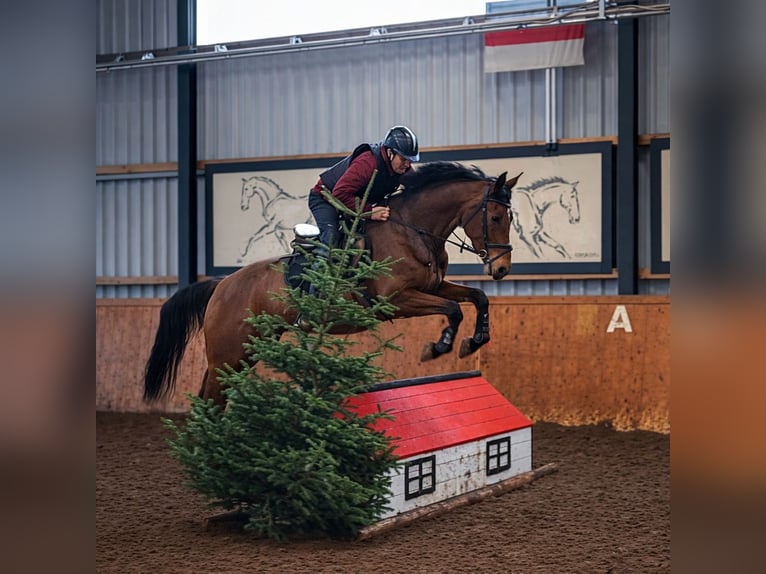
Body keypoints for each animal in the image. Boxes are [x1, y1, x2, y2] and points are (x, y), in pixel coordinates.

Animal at [145, 162, 522, 406]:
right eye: (494, 217)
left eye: (510, 217)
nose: (502, 268)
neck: (412, 229)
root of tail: (221, 286)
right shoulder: (397, 300)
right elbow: (454, 308)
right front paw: (439, 347)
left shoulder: (431, 287)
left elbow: (477, 297)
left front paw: (475, 341)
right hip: (230, 352)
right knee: (210, 398)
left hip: (247, 348)